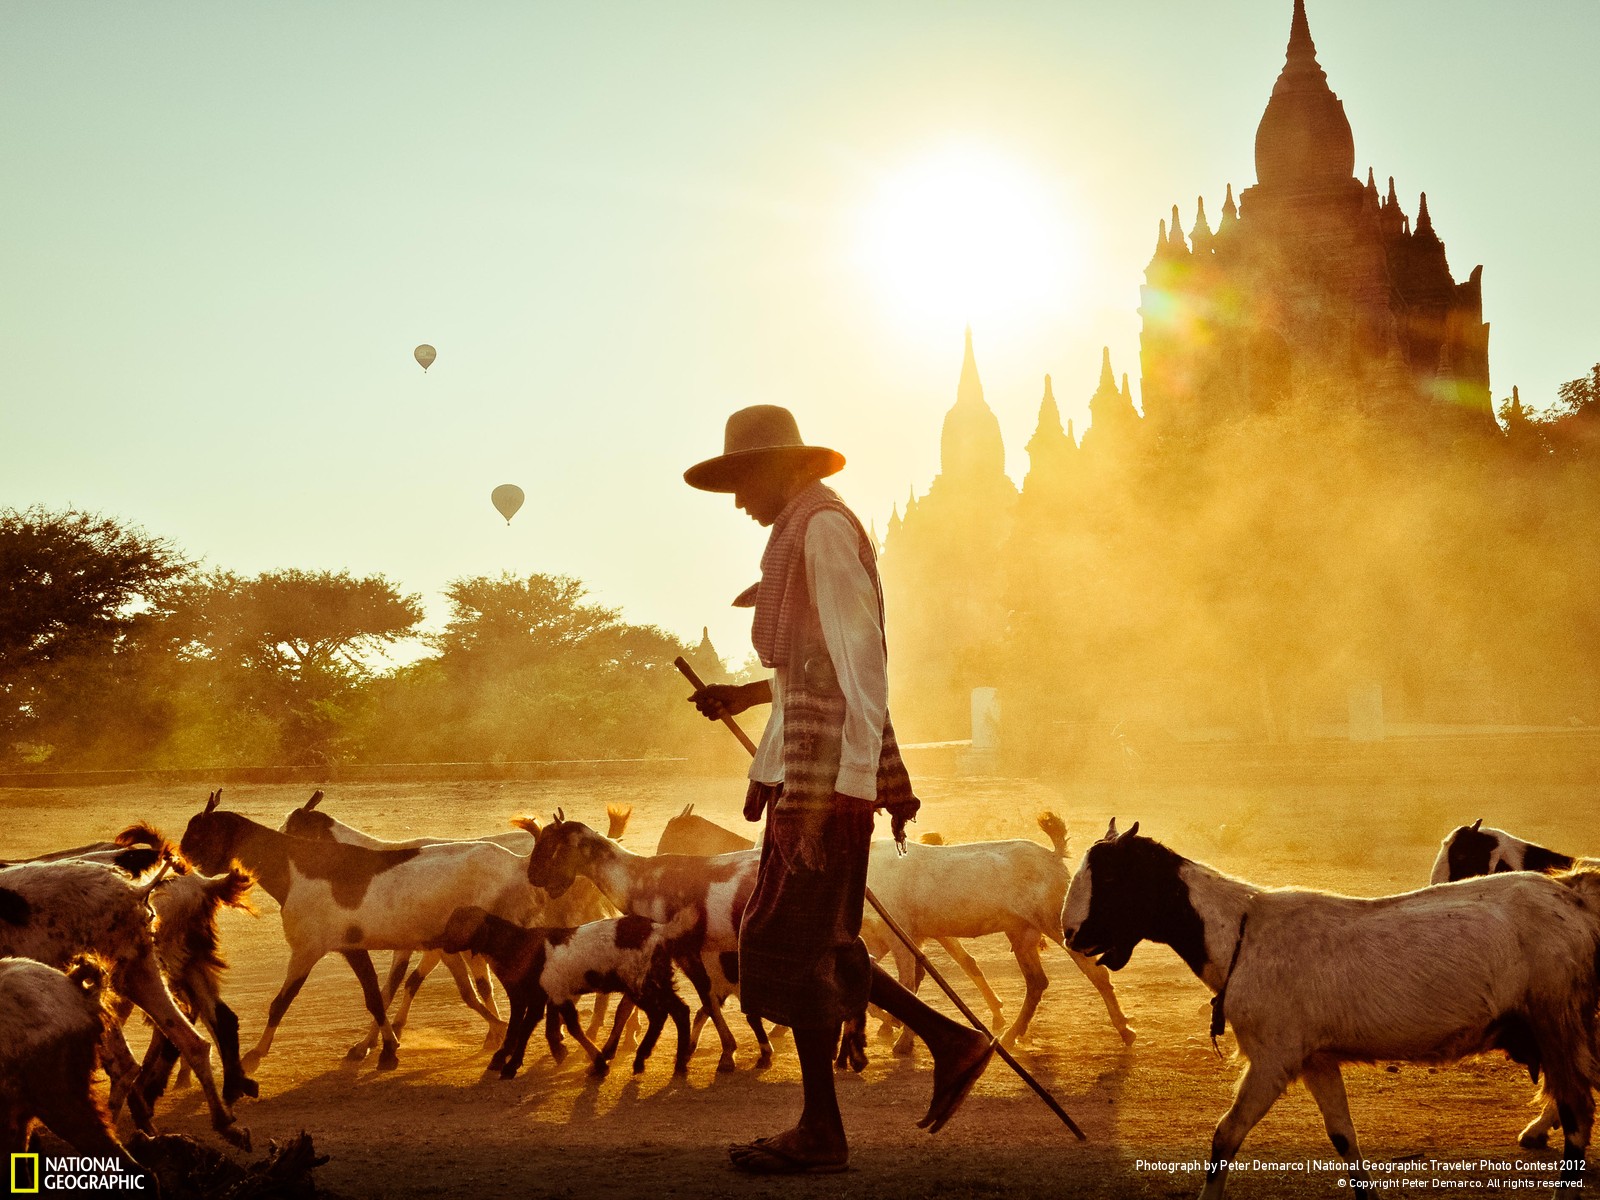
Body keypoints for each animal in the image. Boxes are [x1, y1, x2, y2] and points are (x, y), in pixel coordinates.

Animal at [438, 908, 694, 1088]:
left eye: (457, 923)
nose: (438, 942)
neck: (517, 945)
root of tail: (659, 930)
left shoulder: (545, 994)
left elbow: (540, 1027)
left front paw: (510, 1066)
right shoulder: (546, 995)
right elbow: (549, 1026)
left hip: (640, 982)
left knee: (661, 1014)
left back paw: (648, 1059)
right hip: (656, 980)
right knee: (679, 1011)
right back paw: (675, 1063)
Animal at [1062, 825, 1600, 1196]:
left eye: (1111, 876)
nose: (1070, 934)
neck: (1242, 933)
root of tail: (1573, 897)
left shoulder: (1274, 1059)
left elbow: (1224, 1137)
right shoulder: (1316, 1058)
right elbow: (1344, 1138)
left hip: (1555, 1022)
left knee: (1578, 1116)